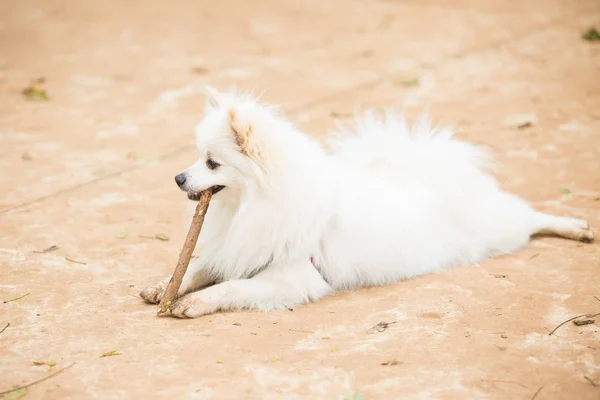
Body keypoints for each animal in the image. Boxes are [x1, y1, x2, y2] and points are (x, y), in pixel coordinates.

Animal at [139, 88, 592, 318]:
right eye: (196, 157)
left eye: (212, 163)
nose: (178, 178)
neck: (248, 207)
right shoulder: (232, 249)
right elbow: (194, 268)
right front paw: (164, 286)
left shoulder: (292, 277)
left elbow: (232, 287)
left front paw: (192, 302)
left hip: (498, 230)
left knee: (531, 216)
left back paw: (575, 227)